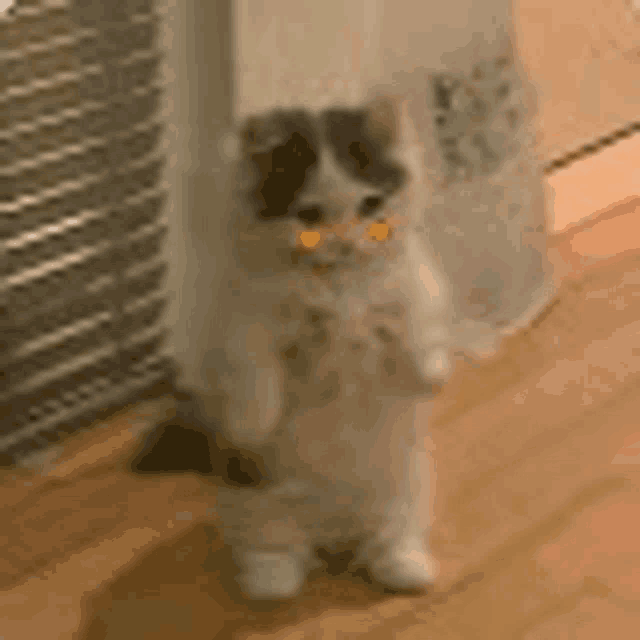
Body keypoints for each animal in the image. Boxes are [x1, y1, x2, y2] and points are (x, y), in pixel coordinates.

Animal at [188, 60, 552, 600]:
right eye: (309, 216)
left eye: (369, 206)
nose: (343, 241)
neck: (339, 283)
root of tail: (335, 529)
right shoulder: (244, 313)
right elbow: (254, 367)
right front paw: (254, 420)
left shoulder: (416, 281)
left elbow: (419, 325)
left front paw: (431, 376)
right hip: (256, 502)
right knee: (276, 546)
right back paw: (273, 581)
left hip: (406, 487)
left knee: (389, 537)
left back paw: (406, 568)